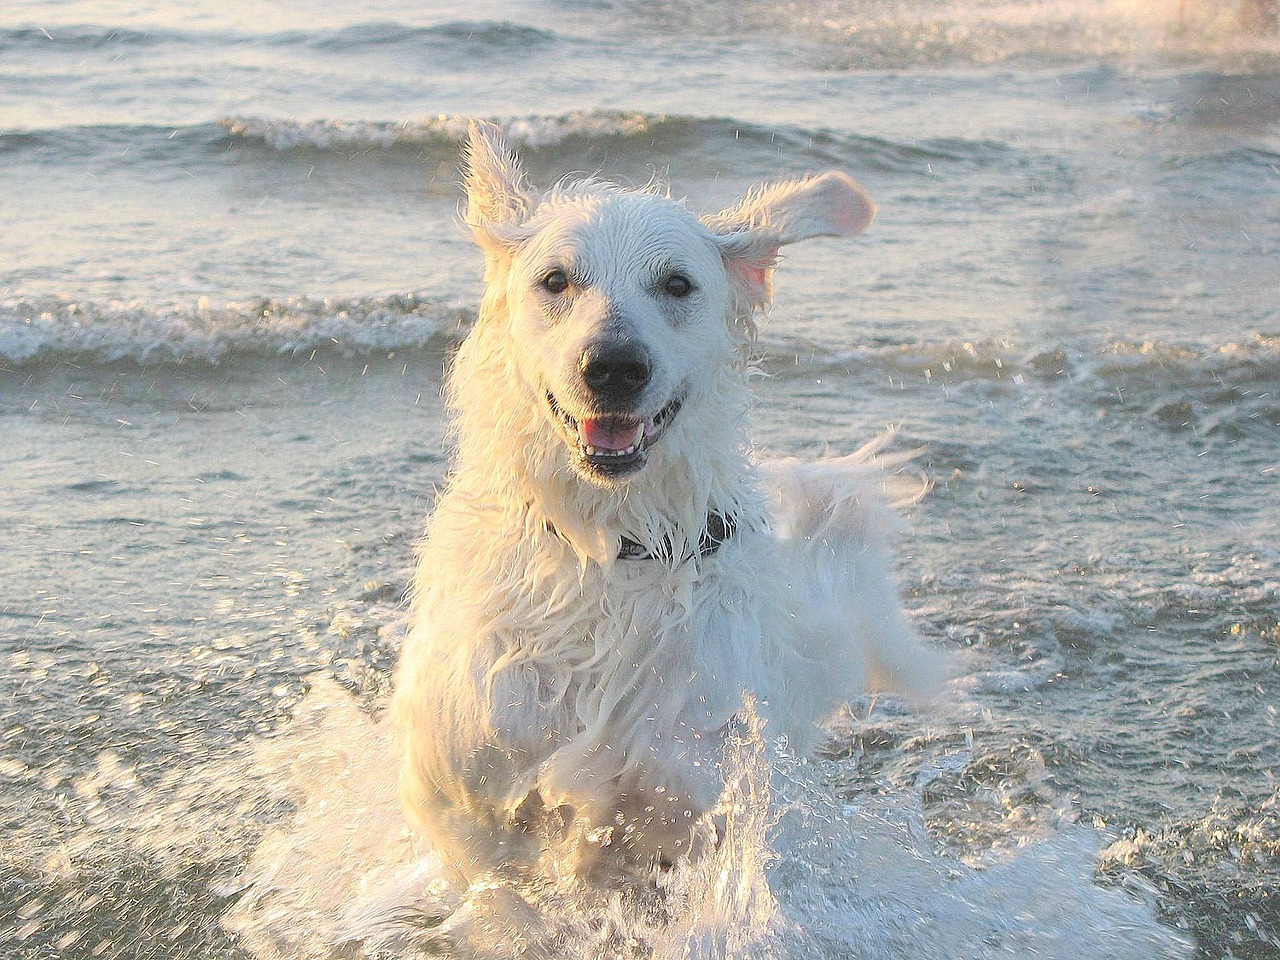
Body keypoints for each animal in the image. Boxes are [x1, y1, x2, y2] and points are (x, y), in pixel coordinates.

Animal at [394, 124, 947, 890]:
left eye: (678, 283)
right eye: (555, 281)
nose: (614, 368)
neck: (610, 546)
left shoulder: (686, 805)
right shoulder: (463, 796)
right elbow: (500, 894)